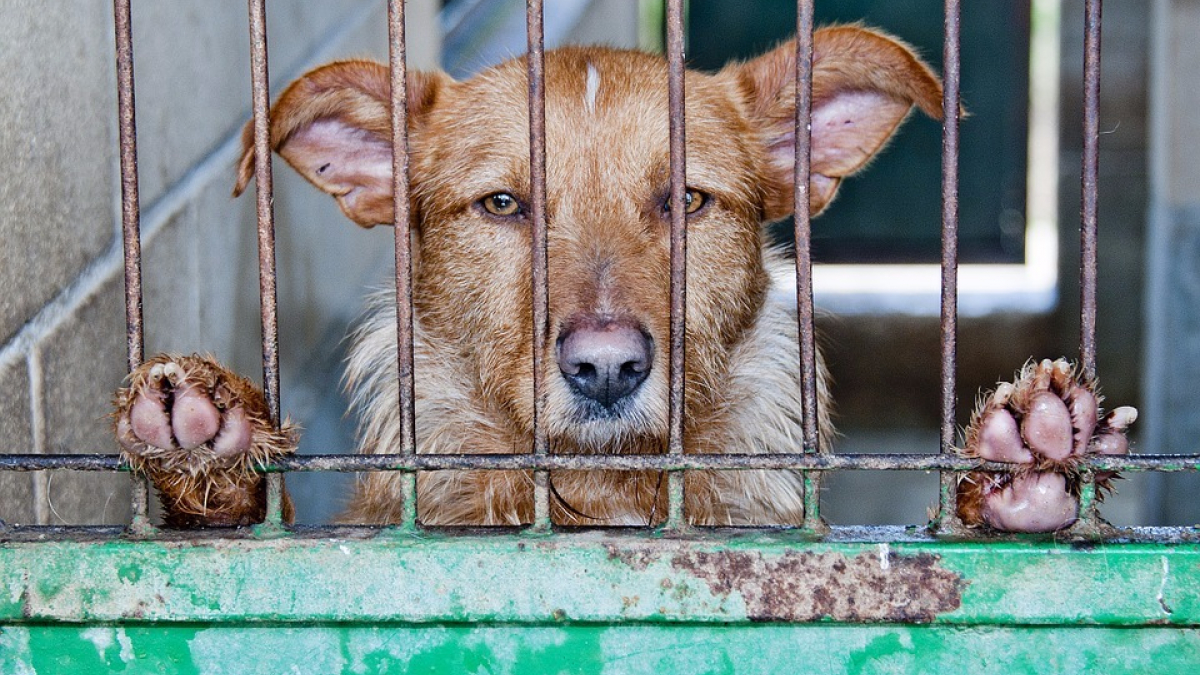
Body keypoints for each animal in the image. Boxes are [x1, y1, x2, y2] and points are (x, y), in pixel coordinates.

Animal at [112, 26, 1132, 530]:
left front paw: (1015, 473)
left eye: (686, 199)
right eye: (502, 204)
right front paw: (211, 452)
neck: (602, 496)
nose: (605, 368)